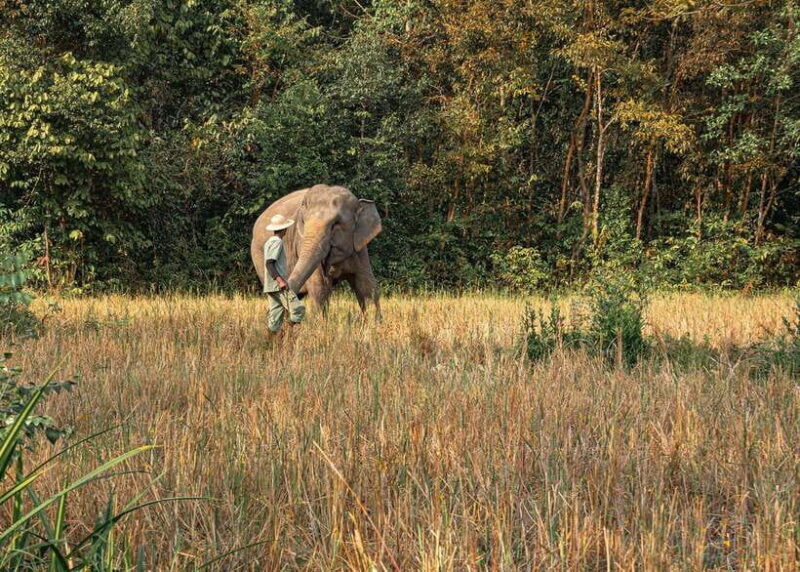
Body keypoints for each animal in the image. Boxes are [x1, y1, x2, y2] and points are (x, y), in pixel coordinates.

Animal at [250, 184, 382, 318]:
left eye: (336, 224)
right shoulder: (301, 241)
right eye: (304, 222)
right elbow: (320, 288)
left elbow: (366, 286)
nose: (284, 286)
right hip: (259, 256)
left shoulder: (358, 248)